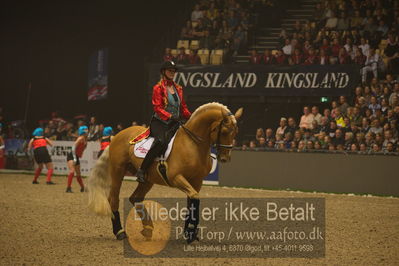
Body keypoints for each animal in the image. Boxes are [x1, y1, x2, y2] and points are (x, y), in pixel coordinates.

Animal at [88, 102, 242, 243]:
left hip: (147, 179)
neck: (193, 144)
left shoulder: (197, 181)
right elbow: (194, 198)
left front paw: (189, 233)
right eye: (224, 131)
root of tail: (117, 136)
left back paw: (148, 229)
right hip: (118, 171)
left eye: (236, 132)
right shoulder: (176, 178)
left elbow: (192, 200)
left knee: (135, 198)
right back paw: (120, 232)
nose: (225, 158)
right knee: (113, 199)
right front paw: (191, 232)